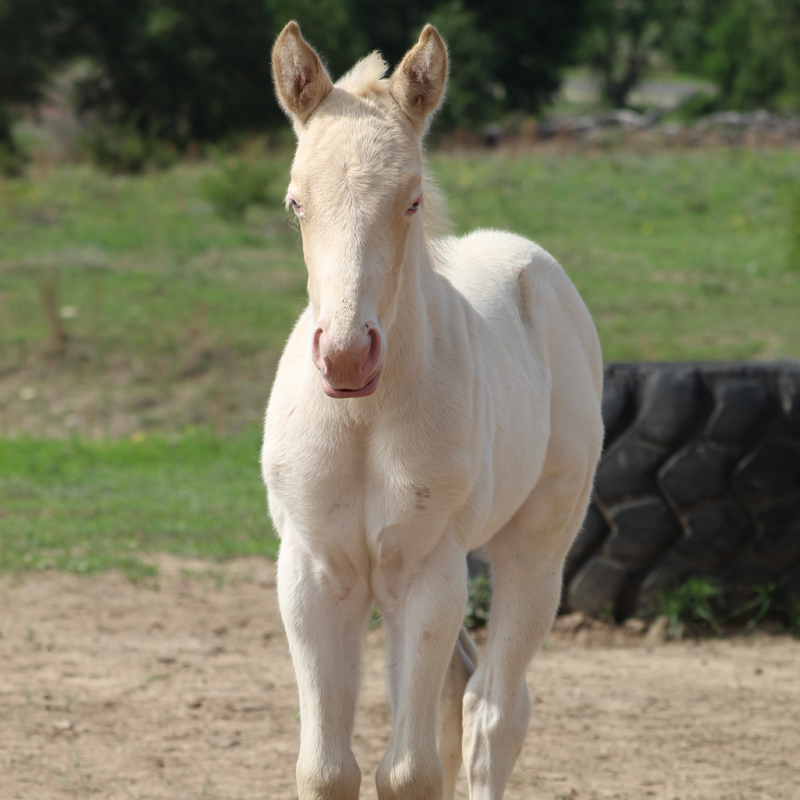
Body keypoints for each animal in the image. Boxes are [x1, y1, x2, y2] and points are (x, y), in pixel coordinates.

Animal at [262, 22, 604, 800]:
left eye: (412, 200)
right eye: (295, 203)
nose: (347, 357)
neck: (362, 423)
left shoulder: (425, 572)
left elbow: (409, 771)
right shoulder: (313, 572)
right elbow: (327, 769)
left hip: (536, 548)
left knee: (494, 710)